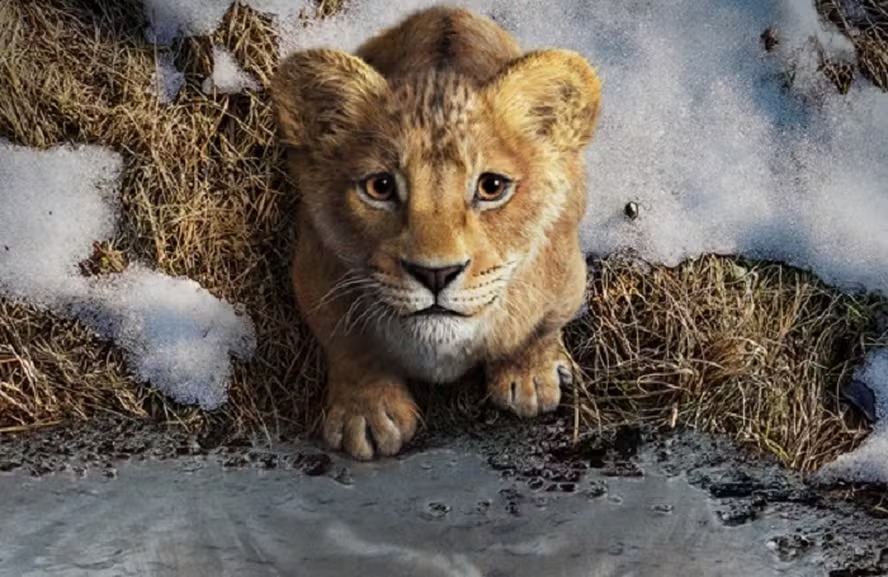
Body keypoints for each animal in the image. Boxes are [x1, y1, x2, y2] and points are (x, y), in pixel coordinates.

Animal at [271, 6, 602, 460]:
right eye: (380, 187)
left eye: (491, 187)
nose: (435, 274)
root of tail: (446, 10)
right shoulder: (315, 270)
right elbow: (349, 346)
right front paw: (368, 415)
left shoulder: (565, 274)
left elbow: (539, 328)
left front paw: (530, 377)